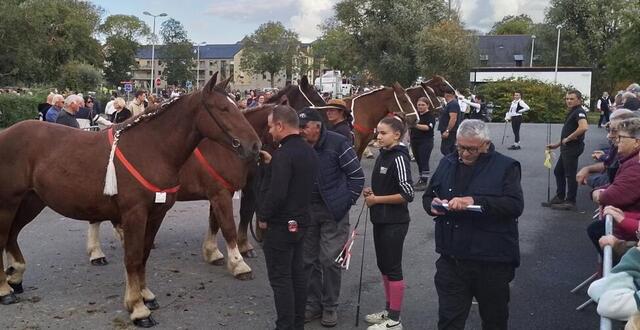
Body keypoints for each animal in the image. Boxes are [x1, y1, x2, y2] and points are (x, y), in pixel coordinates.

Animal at [0, 73, 262, 328]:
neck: (151, 150)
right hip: (8, 203)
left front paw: (145, 295)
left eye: (234, 105)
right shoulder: (136, 213)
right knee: (3, 237)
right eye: (223, 109)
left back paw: (15, 276)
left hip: (31, 202)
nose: (255, 145)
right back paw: (5, 290)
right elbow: (134, 258)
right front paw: (137, 308)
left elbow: (144, 255)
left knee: (12, 235)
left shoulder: (156, 214)